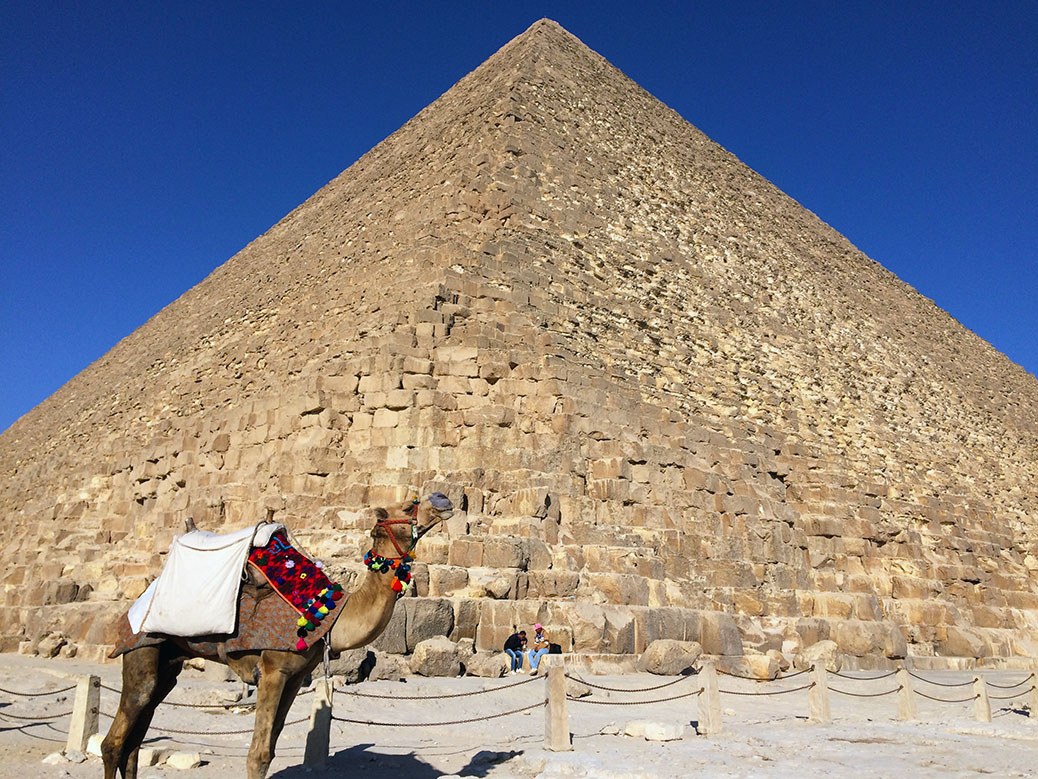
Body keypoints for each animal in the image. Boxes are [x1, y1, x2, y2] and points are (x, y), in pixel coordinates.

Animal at [101, 494, 454, 779]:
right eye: (408, 506)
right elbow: (257, 755)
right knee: (114, 741)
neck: (328, 615)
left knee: (133, 743)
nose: (442, 498)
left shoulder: (296, 676)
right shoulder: (272, 669)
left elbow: (270, 749)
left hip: (168, 664)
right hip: (142, 647)